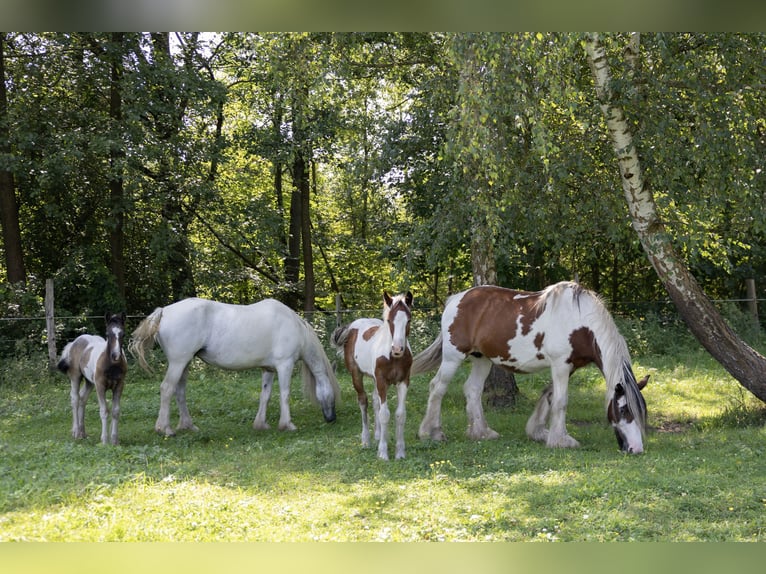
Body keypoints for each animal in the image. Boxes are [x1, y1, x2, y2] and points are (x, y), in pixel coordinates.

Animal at [57, 316, 128, 446]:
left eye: (123, 334)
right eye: (107, 334)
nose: (116, 355)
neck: (111, 365)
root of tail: (73, 342)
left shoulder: (119, 385)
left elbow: (115, 411)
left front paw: (114, 440)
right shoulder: (100, 386)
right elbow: (104, 411)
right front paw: (104, 440)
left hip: (89, 382)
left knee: (82, 398)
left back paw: (82, 433)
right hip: (75, 377)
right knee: (75, 398)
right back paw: (76, 432)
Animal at [130, 300, 342, 438]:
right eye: (334, 392)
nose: (332, 418)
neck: (296, 328)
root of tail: (164, 311)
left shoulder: (268, 369)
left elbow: (265, 395)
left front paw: (261, 424)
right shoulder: (285, 365)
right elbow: (285, 394)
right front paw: (287, 424)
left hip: (185, 363)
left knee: (179, 391)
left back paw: (188, 426)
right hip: (178, 362)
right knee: (167, 389)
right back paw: (165, 429)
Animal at [330, 292, 414, 464]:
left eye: (408, 320)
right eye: (389, 320)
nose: (397, 349)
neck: (393, 357)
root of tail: (351, 326)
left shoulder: (403, 381)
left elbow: (400, 414)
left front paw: (400, 452)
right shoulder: (382, 381)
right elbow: (385, 414)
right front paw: (383, 453)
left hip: (374, 379)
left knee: (375, 400)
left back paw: (377, 435)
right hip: (356, 374)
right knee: (363, 401)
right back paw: (366, 440)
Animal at [416, 282, 652, 454]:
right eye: (624, 409)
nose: (636, 449)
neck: (580, 323)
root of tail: (456, 299)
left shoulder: (569, 366)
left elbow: (549, 396)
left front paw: (538, 432)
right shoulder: (560, 365)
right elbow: (561, 401)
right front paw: (561, 440)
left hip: (481, 359)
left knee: (472, 390)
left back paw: (482, 432)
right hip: (453, 356)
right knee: (437, 388)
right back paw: (432, 433)